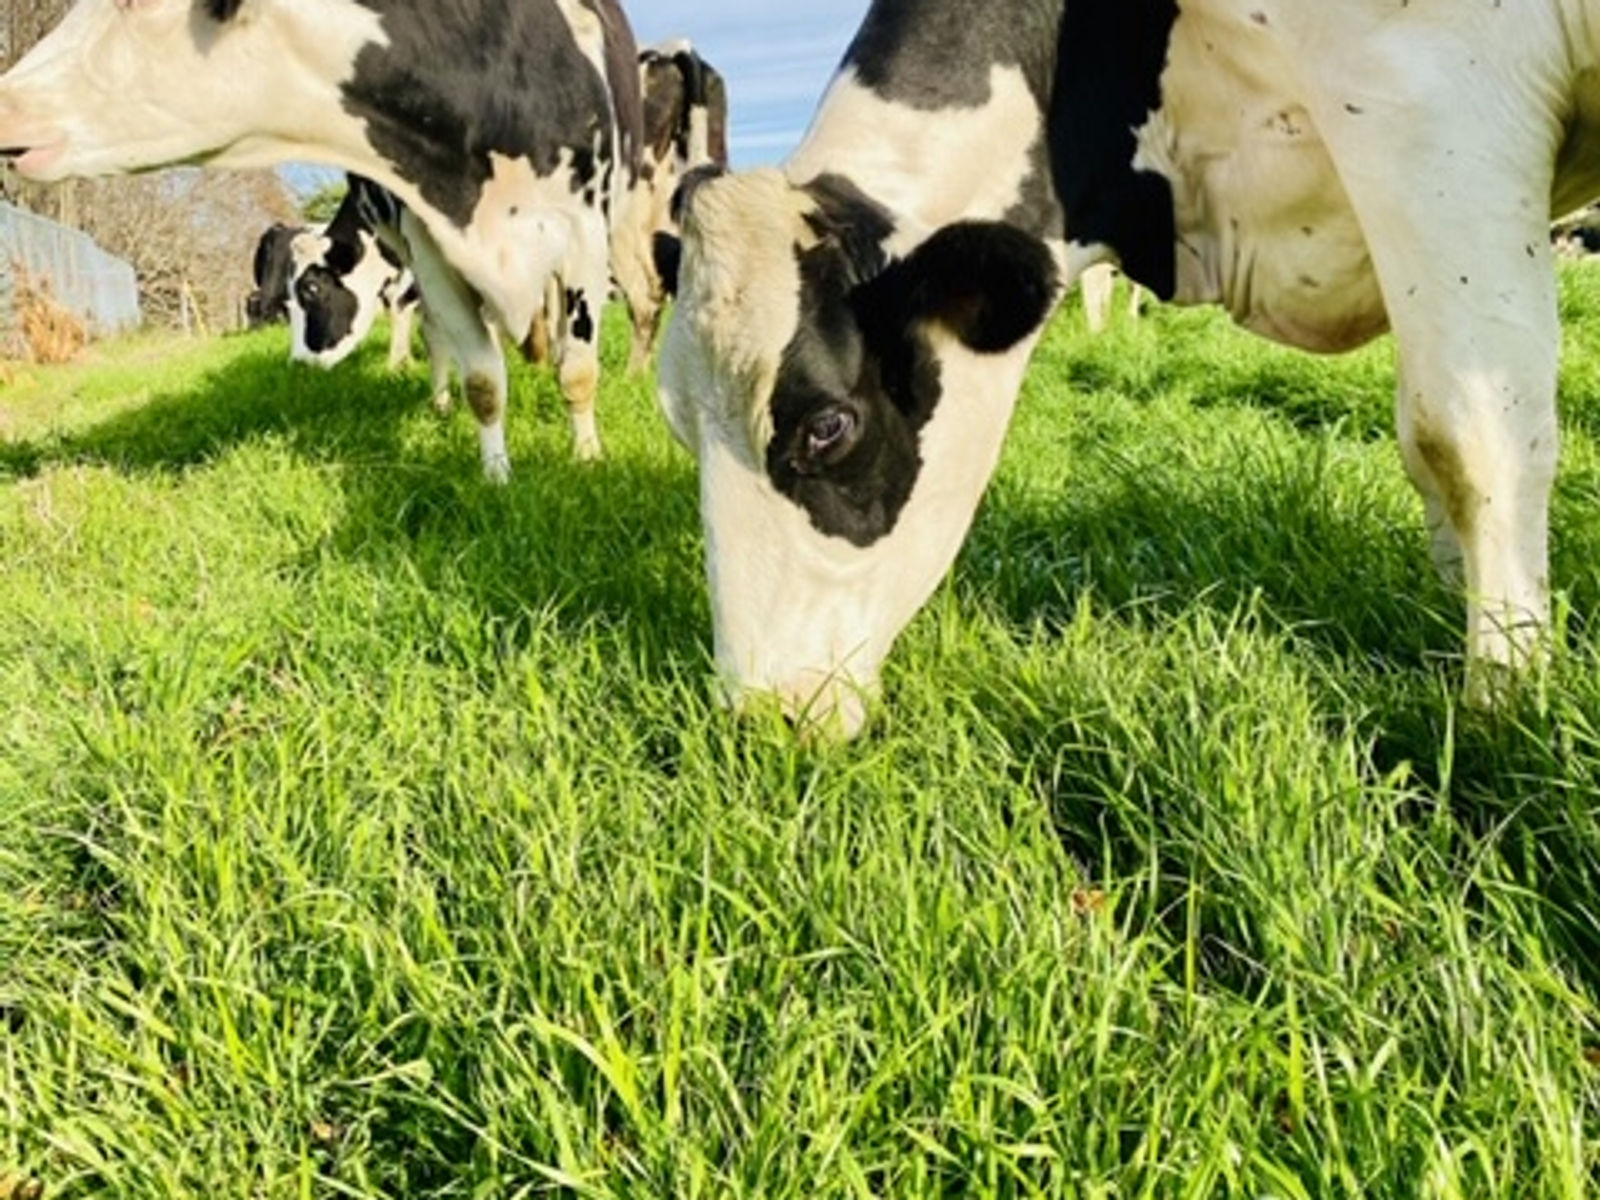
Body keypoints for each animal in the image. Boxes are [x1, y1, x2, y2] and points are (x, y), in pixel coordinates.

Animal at [0, 0, 644, 483]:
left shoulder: (583, 232)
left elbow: (578, 370)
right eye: (279, 300)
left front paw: (587, 459)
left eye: (309, 290)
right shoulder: (431, 248)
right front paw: (496, 477)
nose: (302, 365)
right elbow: (483, 380)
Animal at [655, 0, 1599, 737]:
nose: (764, 715)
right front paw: (1457, 614)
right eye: (680, 426)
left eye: (827, 425)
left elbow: (1466, 437)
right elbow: (1422, 443)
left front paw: (1504, 699)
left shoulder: (1434, 101)